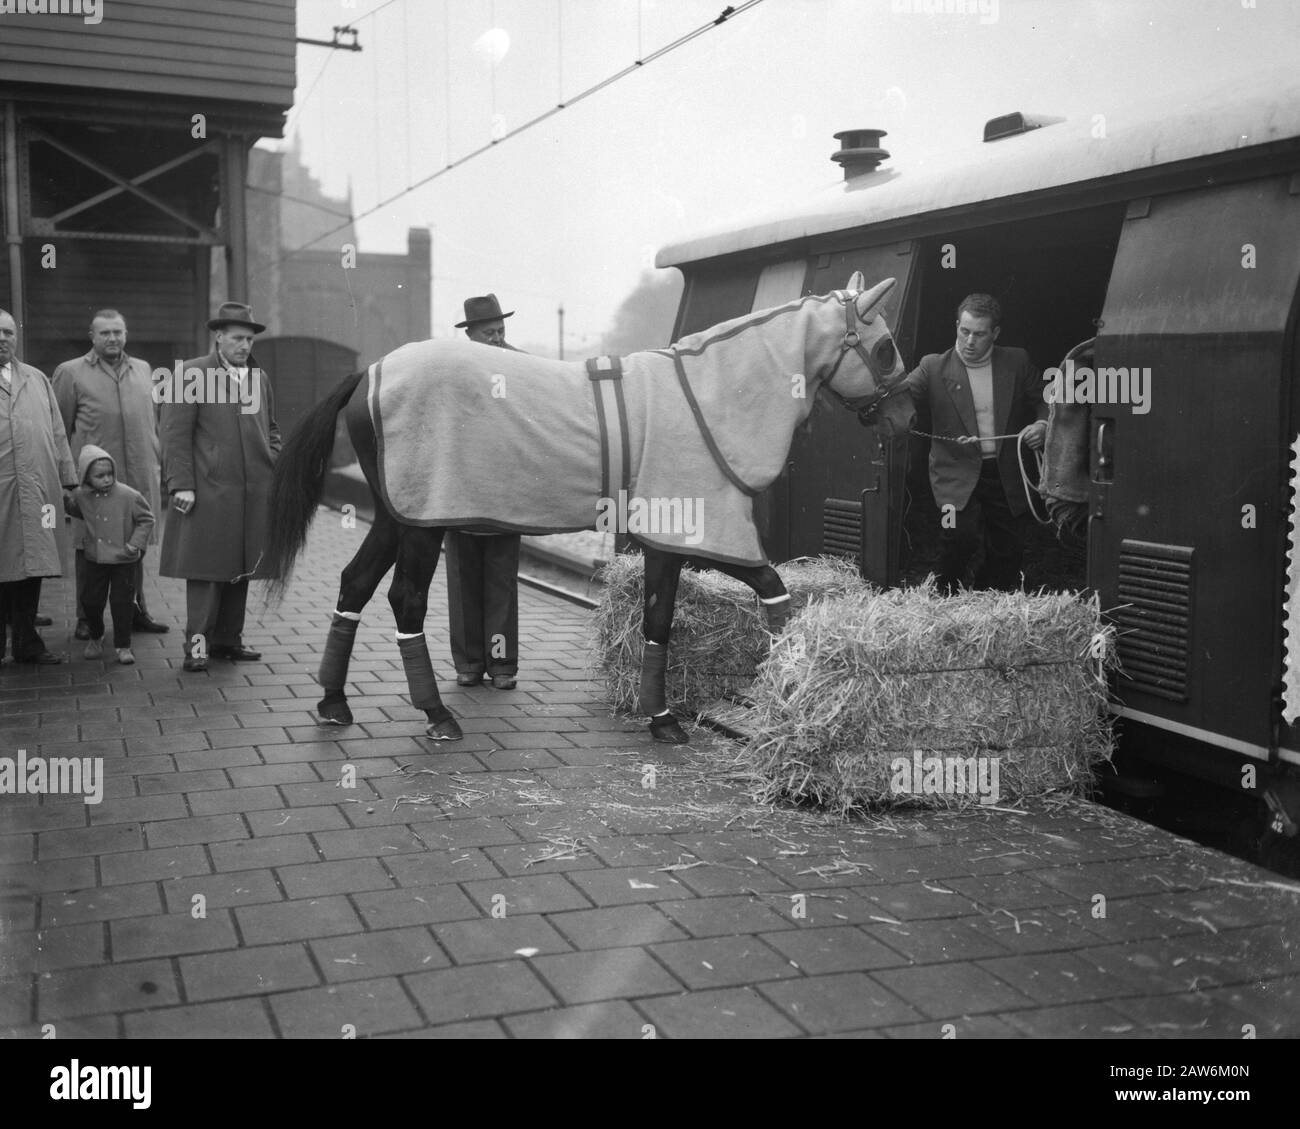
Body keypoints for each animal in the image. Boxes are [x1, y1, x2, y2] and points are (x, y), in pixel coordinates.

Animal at [261, 271, 915, 749]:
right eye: (885, 347)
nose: (907, 418)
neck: (706, 396)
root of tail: (368, 373)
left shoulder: (671, 541)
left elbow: (675, 615)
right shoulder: (697, 530)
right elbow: (750, 592)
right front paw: (689, 711)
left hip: (397, 518)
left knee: (354, 584)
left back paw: (333, 702)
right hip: (424, 524)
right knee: (404, 600)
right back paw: (437, 714)